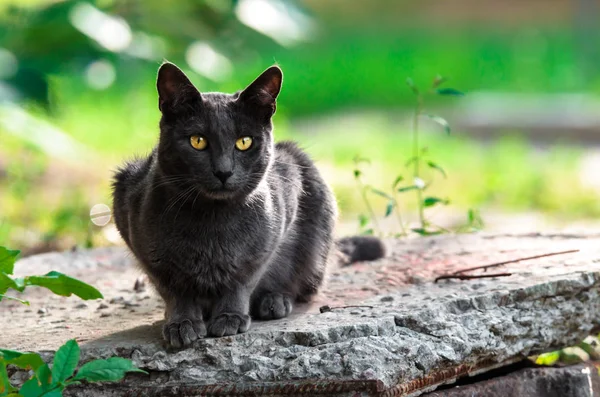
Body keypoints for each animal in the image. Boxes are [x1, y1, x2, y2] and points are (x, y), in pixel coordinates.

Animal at [112, 62, 384, 346]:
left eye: (244, 142)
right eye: (197, 141)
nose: (223, 171)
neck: (211, 220)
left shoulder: (274, 226)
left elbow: (243, 278)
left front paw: (230, 316)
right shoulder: (139, 235)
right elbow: (174, 289)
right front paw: (181, 322)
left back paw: (274, 301)